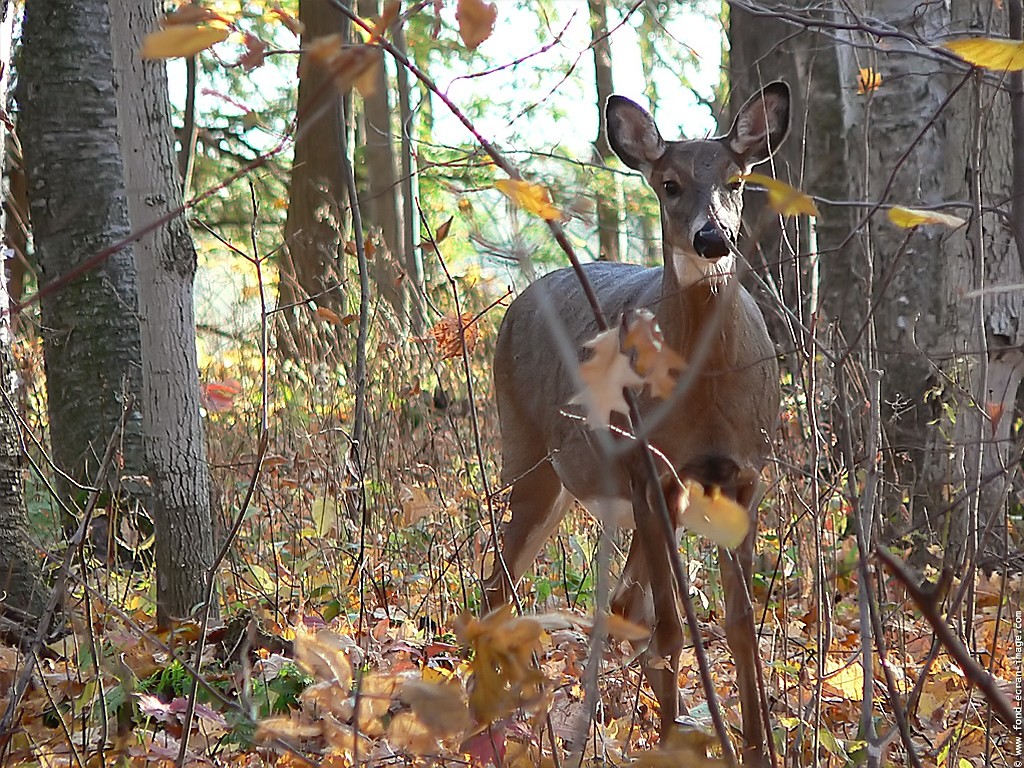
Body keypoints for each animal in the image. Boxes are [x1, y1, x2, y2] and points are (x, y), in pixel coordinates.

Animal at [481, 81, 790, 765]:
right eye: (669, 183)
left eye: (736, 179)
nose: (712, 238)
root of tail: (517, 300)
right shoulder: (653, 473)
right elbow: (673, 629)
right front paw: (673, 740)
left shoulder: (744, 476)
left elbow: (740, 625)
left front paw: (757, 747)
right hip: (531, 454)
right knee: (498, 587)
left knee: (622, 603)